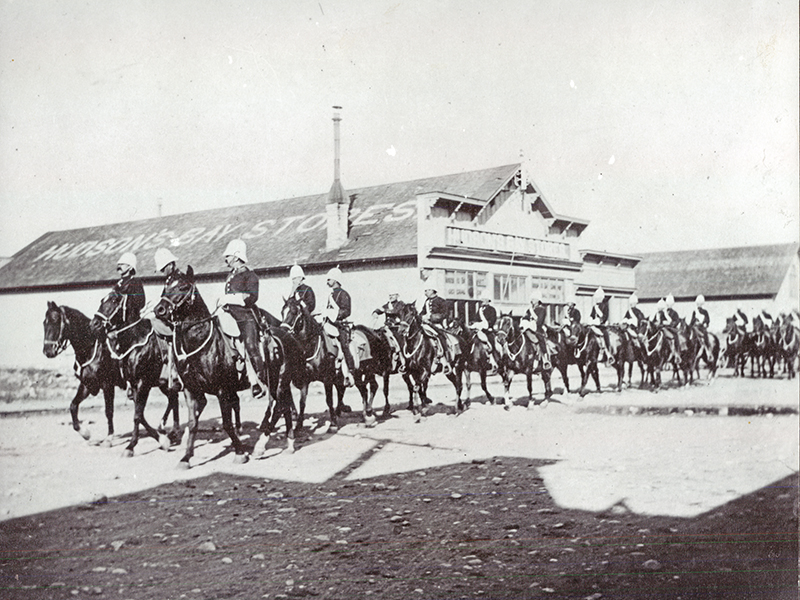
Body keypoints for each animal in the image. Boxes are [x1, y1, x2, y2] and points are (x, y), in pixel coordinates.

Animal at [41, 302, 123, 442]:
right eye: (44, 323)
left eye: (55, 320)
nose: (47, 351)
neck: (91, 349)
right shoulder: (86, 385)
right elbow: (73, 406)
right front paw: (85, 433)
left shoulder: (107, 385)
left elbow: (109, 411)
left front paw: (109, 436)